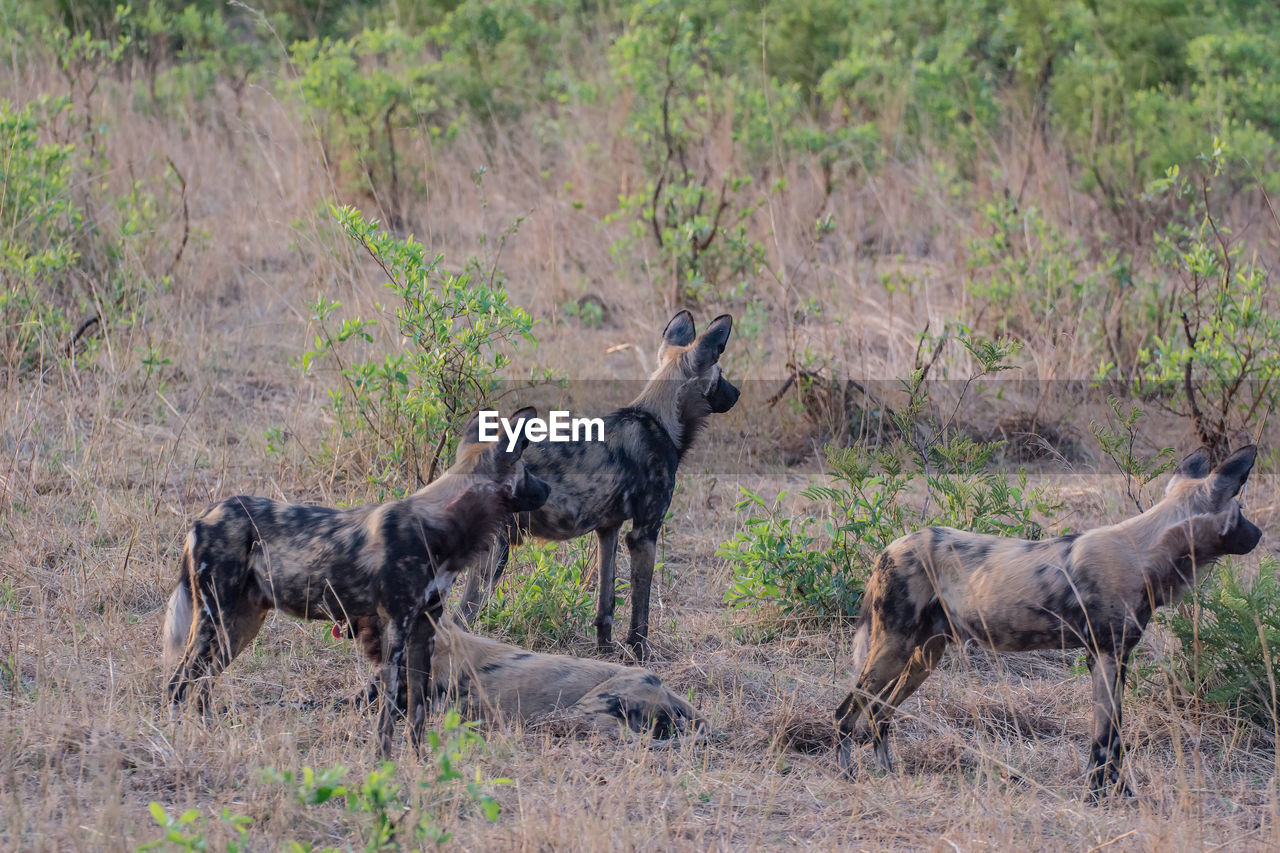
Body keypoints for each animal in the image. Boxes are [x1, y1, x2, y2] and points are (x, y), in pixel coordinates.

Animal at [157, 409, 547, 753]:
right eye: (528, 470)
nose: (547, 488)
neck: (440, 522)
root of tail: (206, 514)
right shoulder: (397, 630)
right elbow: (388, 718)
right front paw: (383, 767)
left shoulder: (425, 628)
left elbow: (417, 716)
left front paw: (419, 768)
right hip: (214, 620)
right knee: (177, 685)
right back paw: (175, 745)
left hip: (239, 628)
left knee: (202, 686)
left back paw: (207, 738)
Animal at [458, 308, 742, 653]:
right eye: (721, 373)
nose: (737, 393)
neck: (660, 420)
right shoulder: (644, 535)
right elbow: (640, 613)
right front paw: (639, 654)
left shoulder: (608, 530)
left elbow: (606, 604)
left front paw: (605, 652)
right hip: (493, 558)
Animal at [834, 445, 1264, 799]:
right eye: (1241, 512)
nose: (1260, 534)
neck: (1145, 550)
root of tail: (891, 546)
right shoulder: (1106, 658)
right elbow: (1106, 741)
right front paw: (1099, 799)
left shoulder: (1113, 660)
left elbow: (1112, 740)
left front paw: (1118, 794)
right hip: (893, 649)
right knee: (847, 712)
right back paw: (847, 776)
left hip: (924, 658)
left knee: (879, 716)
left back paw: (890, 775)